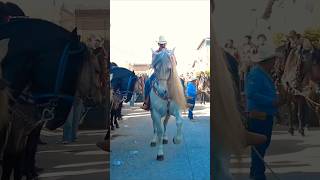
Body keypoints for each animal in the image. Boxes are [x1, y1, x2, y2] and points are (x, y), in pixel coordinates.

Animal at [0, 17, 92, 180]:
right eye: (75, 70)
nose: (60, 120)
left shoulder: (25, 126)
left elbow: (19, 153)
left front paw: (28, 173)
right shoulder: (18, 126)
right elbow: (12, 156)